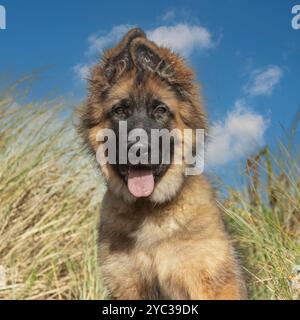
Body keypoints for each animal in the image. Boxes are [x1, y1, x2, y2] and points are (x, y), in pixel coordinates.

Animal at [78, 27, 247, 300]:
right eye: (119, 111)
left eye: (160, 110)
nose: (138, 150)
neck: (149, 213)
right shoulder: (128, 285)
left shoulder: (209, 280)